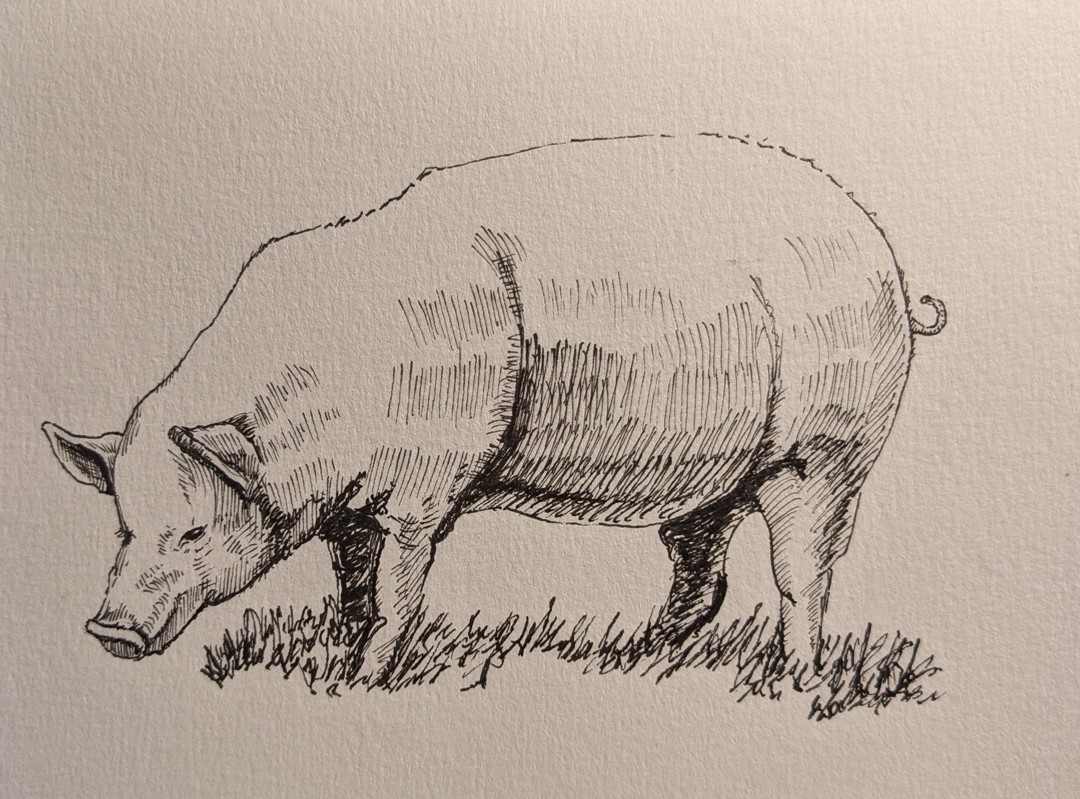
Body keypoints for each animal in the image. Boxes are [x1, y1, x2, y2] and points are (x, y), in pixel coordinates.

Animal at [43, 133, 946, 683]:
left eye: (195, 530)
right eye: (124, 525)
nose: (108, 630)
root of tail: (895, 275)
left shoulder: (426, 483)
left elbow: (401, 589)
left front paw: (366, 679)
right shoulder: (350, 506)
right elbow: (352, 581)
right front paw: (335, 658)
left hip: (825, 448)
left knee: (804, 571)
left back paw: (794, 678)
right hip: (719, 478)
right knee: (703, 568)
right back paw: (635, 655)